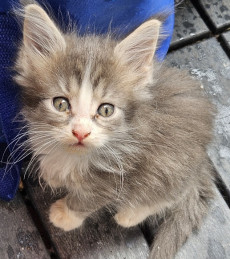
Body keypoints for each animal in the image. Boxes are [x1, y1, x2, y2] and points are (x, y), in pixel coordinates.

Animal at [13, 3, 216, 259]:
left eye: (106, 109)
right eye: (61, 104)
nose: (80, 133)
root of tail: (201, 163)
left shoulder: (119, 172)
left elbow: (89, 198)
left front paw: (66, 214)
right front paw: (54, 173)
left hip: (170, 165)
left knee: (170, 193)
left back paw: (130, 213)